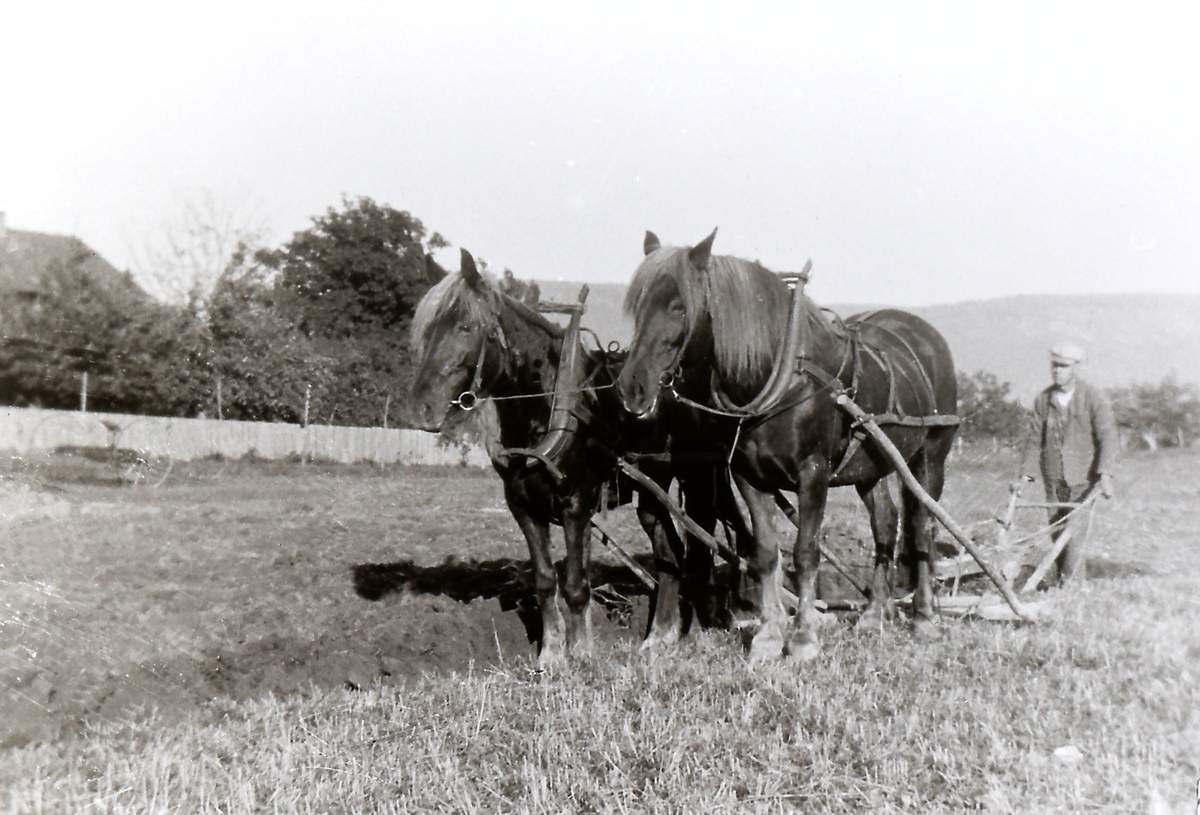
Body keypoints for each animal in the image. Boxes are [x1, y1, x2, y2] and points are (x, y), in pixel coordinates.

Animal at [412, 252, 748, 667]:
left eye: (464, 327)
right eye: (427, 329)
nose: (421, 408)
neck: (547, 408)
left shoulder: (576, 504)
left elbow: (575, 583)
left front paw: (582, 652)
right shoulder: (523, 506)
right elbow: (544, 580)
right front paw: (551, 654)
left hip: (699, 476)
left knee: (703, 550)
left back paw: (703, 627)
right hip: (653, 493)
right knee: (670, 552)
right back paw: (659, 637)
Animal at [614, 229, 960, 662]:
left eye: (679, 307)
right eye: (638, 305)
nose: (632, 388)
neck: (777, 379)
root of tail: (922, 333)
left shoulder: (813, 474)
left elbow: (805, 552)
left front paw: (803, 638)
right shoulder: (749, 477)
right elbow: (764, 552)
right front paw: (767, 637)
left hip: (931, 457)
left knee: (921, 528)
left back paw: (924, 616)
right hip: (871, 465)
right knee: (886, 523)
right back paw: (874, 612)